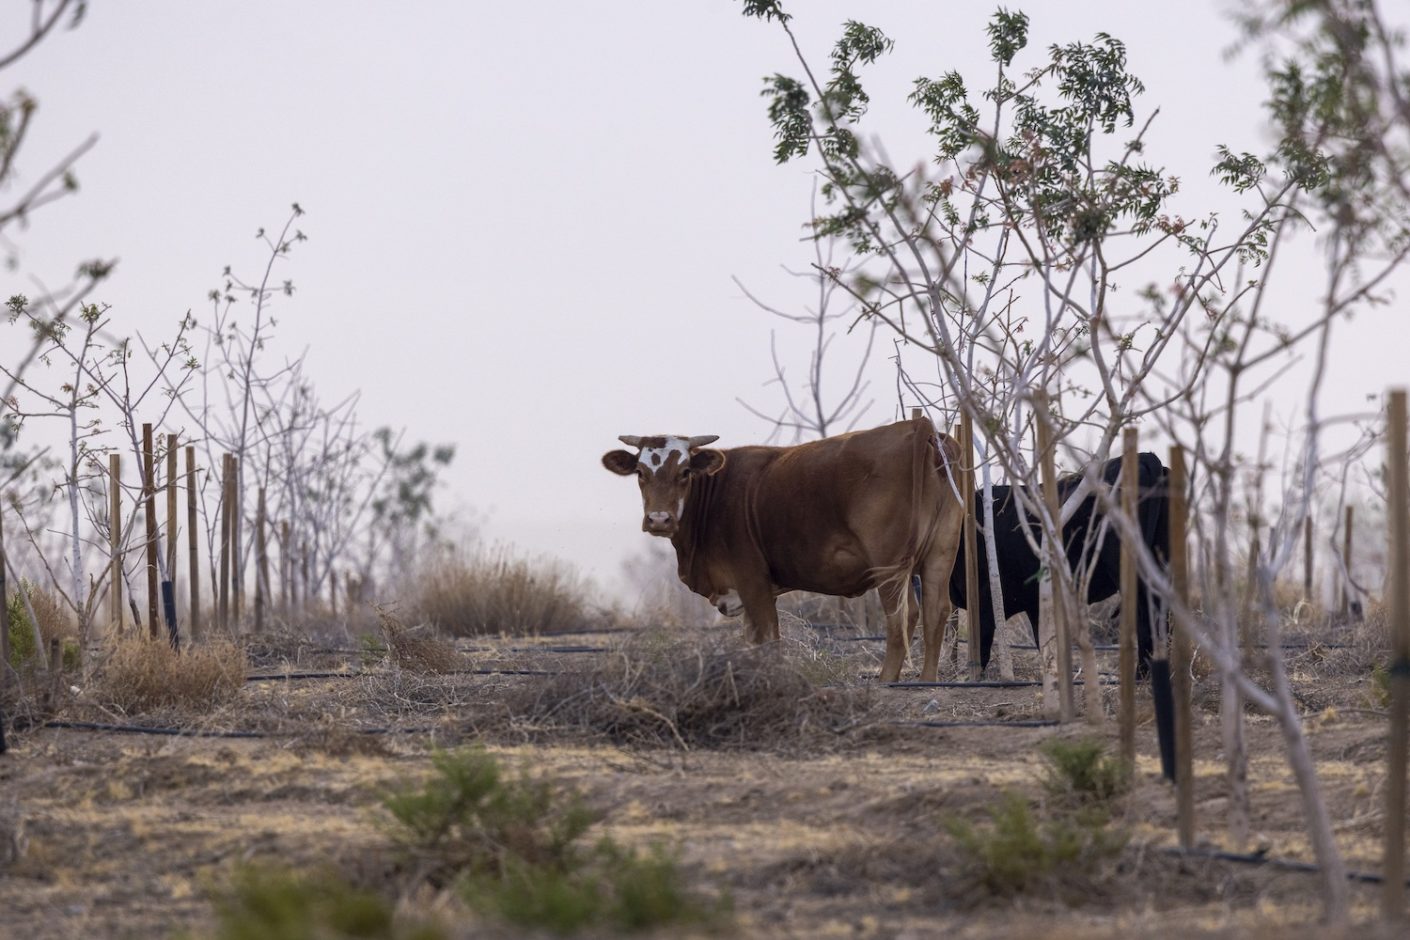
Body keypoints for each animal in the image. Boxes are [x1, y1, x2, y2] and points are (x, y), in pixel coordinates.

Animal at [600, 419, 964, 684]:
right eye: (640, 473)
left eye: (685, 471)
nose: (659, 519)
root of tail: (916, 428)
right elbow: (754, 640)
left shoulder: (753, 582)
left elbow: (768, 638)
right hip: (939, 553)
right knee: (935, 611)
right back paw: (927, 681)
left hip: (889, 566)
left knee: (901, 615)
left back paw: (887, 680)